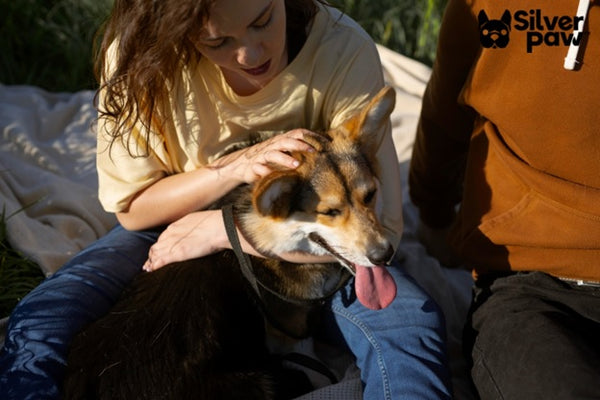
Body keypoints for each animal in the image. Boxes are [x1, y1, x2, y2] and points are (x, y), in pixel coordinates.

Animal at [63, 86, 396, 398]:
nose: (385, 255)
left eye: (370, 195)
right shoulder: (292, 334)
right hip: (262, 383)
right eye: (330, 212)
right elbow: (314, 363)